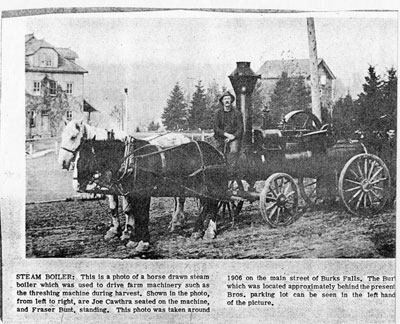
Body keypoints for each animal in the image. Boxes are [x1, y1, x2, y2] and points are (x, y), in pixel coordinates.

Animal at [58, 120, 191, 244]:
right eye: (62, 136)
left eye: (73, 136)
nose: (62, 163)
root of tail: (184, 137)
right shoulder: (113, 188)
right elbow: (113, 208)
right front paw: (114, 231)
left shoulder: (126, 187)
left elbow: (128, 209)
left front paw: (128, 232)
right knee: (177, 199)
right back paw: (175, 221)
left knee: (180, 199)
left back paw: (177, 223)